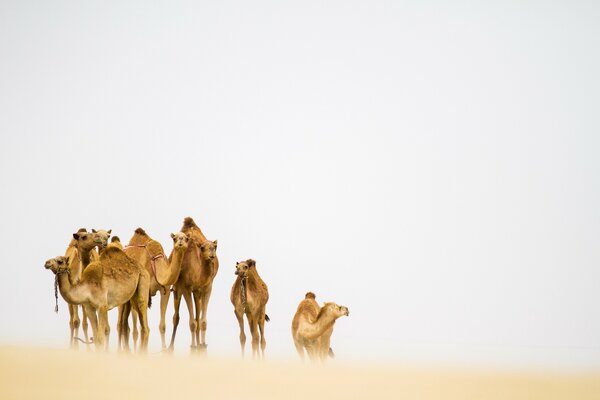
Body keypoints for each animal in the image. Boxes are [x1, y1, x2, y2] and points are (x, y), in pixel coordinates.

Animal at [169, 217, 218, 352]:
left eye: (215, 247)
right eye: (202, 247)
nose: (212, 255)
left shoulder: (207, 287)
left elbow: (202, 321)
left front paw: (203, 344)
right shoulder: (185, 287)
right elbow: (192, 322)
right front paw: (193, 346)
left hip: (198, 292)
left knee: (197, 316)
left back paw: (199, 344)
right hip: (178, 289)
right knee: (176, 317)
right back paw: (171, 347)